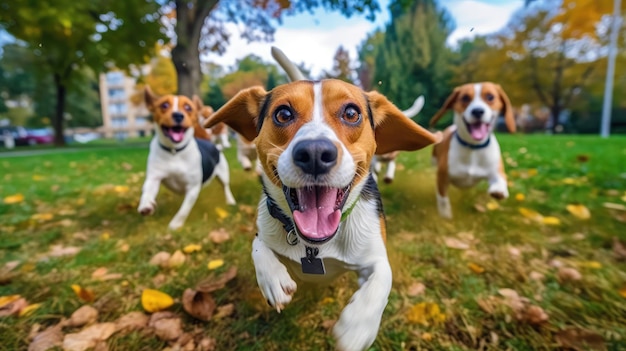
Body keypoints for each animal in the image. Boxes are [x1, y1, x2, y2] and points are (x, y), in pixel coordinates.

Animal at [138, 87, 235, 231]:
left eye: (188, 107)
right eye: (164, 105)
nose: (178, 115)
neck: (175, 151)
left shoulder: (193, 188)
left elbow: (184, 210)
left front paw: (175, 225)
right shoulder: (154, 178)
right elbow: (148, 191)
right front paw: (146, 205)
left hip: (223, 173)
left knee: (226, 187)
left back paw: (230, 201)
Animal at [201, 48, 438, 351]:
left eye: (351, 113)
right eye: (283, 113)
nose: (314, 153)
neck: (316, 245)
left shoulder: (374, 255)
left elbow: (382, 279)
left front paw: (356, 327)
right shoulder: (265, 224)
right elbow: (258, 246)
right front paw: (273, 279)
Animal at [428, 83, 512, 220]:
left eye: (490, 97)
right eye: (465, 98)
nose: (477, 111)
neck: (473, 147)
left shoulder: (496, 170)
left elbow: (500, 179)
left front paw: (499, 191)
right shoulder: (442, 177)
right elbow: (443, 199)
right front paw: (446, 216)